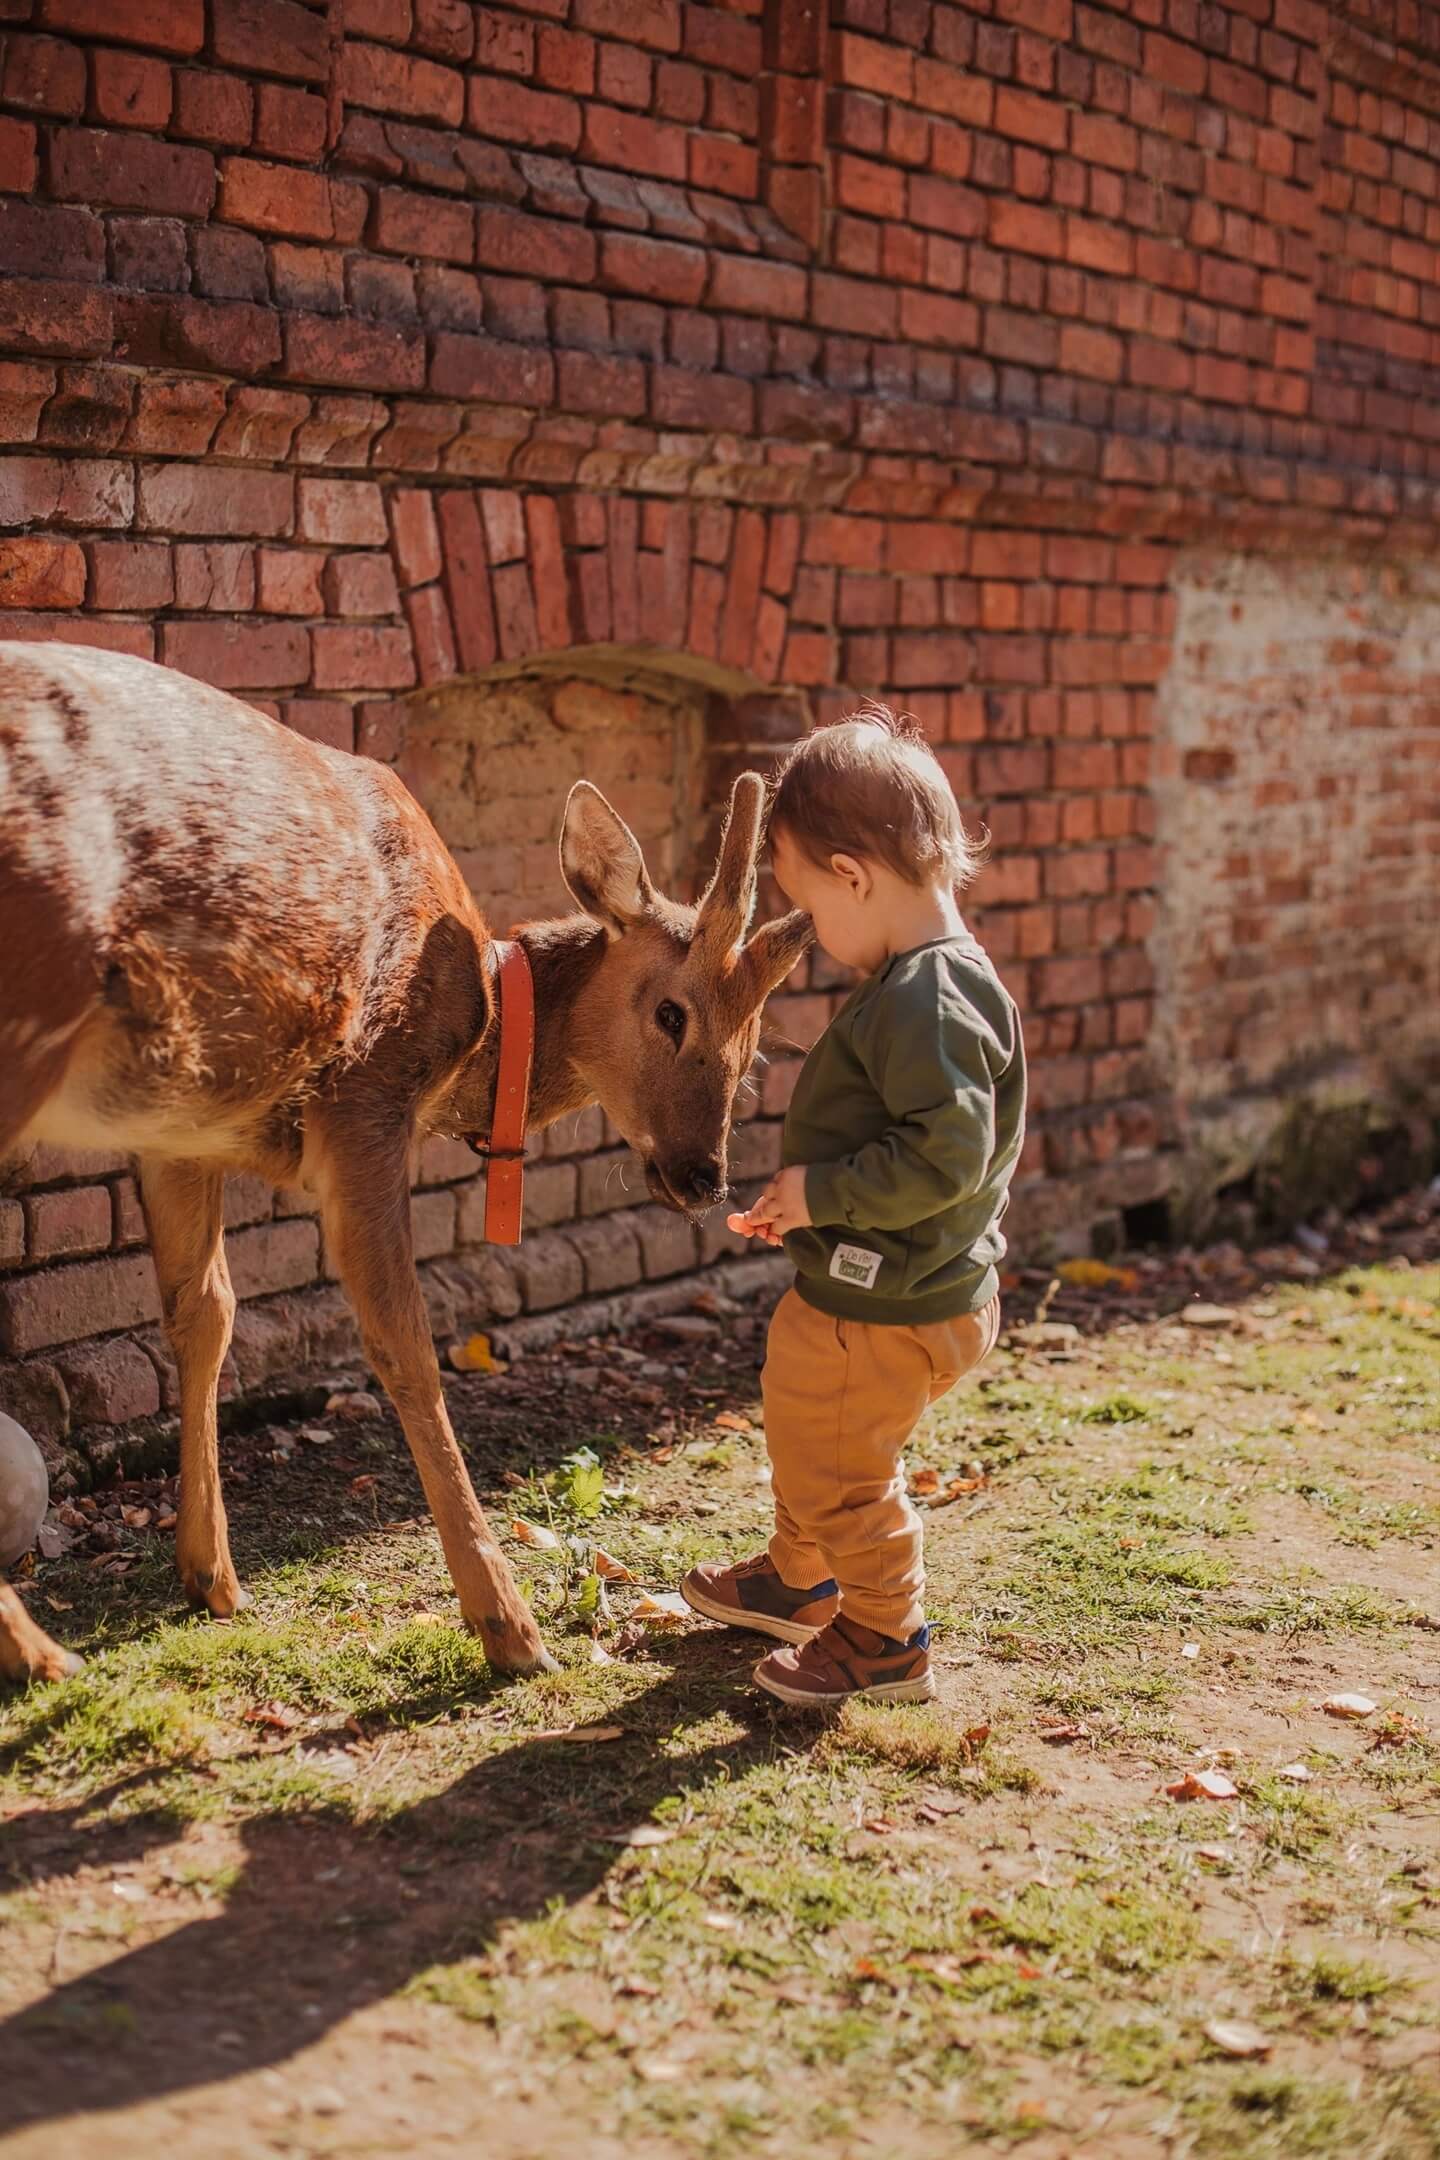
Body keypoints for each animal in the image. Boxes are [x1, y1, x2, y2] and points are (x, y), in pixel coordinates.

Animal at [0, 639, 811, 1684]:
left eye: (753, 1051)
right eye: (672, 1012)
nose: (703, 1178)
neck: (477, 1037)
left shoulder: (181, 1125)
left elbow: (204, 1313)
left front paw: (212, 1579)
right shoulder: (365, 1096)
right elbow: (408, 1344)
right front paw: (510, 1626)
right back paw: (42, 1655)